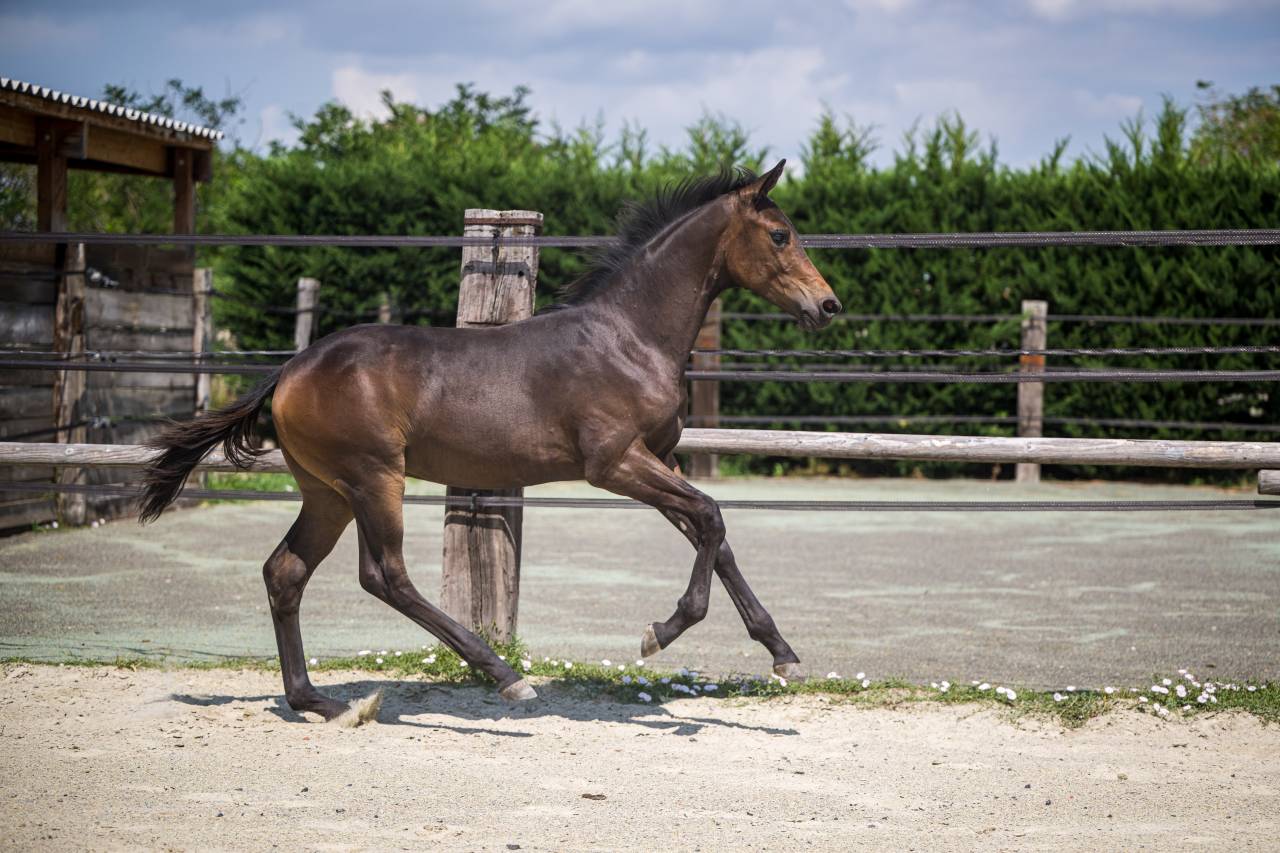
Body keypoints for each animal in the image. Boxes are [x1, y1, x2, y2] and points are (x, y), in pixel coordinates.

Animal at [139, 160, 842, 725]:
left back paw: (320, 701)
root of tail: (288, 370)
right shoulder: (614, 463)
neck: (628, 337)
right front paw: (661, 632)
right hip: (373, 477)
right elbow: (711, 516)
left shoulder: (659, 457)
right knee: (385, 575)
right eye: (781, 235)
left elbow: (714, 538)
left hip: (327, 491)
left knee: (285, 572)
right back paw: (505, 677)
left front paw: (783, 655)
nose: (828, 305)